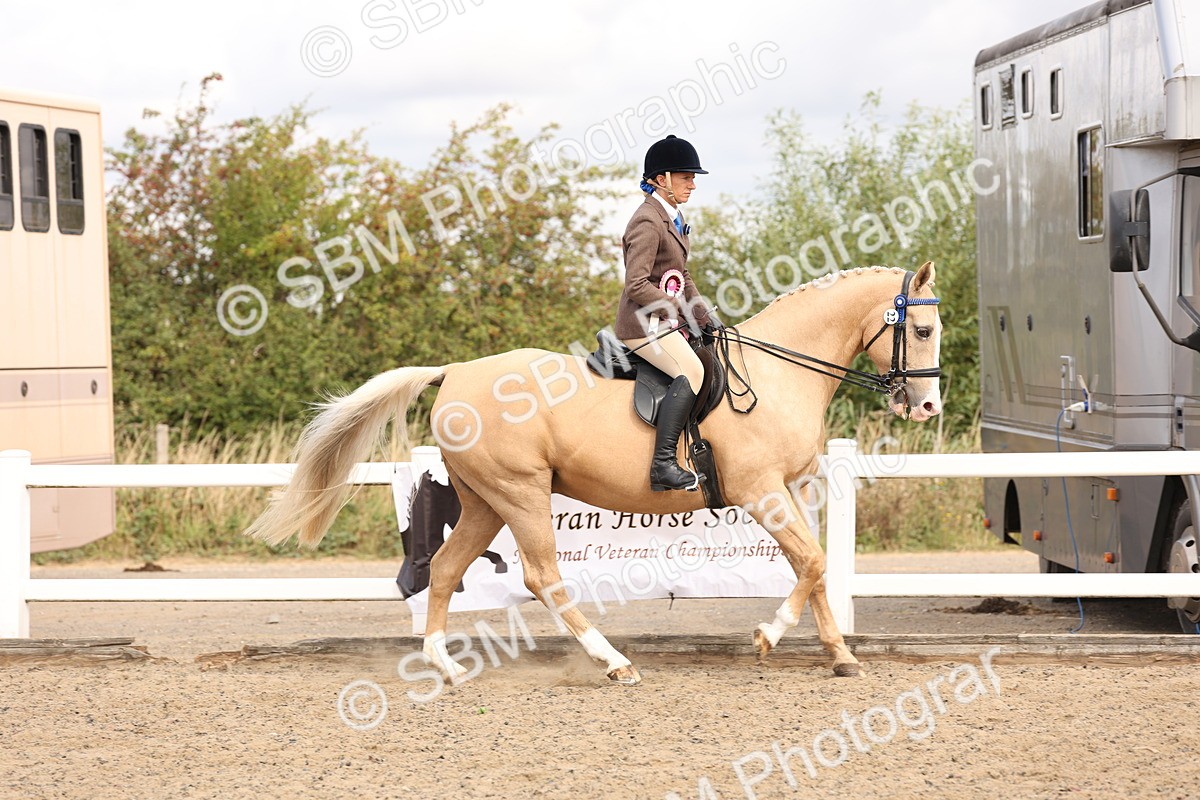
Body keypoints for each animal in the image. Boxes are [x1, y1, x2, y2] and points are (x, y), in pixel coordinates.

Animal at [247, 261, 943, 684]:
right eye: (923, 328)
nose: (927, 407)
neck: (777, 375)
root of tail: (456, 372)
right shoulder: (762, 492)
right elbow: (813, 562)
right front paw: (769, 637)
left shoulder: (790, 489)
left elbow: (815, 566)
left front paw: (840, 656)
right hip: (520, 492)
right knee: (543, 578)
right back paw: (613, 663)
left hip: (484, 501)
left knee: (444, 571)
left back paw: (444, 665)